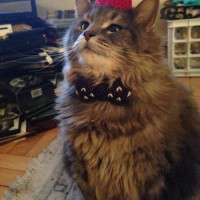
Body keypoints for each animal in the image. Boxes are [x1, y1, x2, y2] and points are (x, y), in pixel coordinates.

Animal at [56, 0, 200, 199]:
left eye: (114, 28)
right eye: (84, 25)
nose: (87, 33)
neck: (102, 93)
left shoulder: (154, 177)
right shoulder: (82, 172)